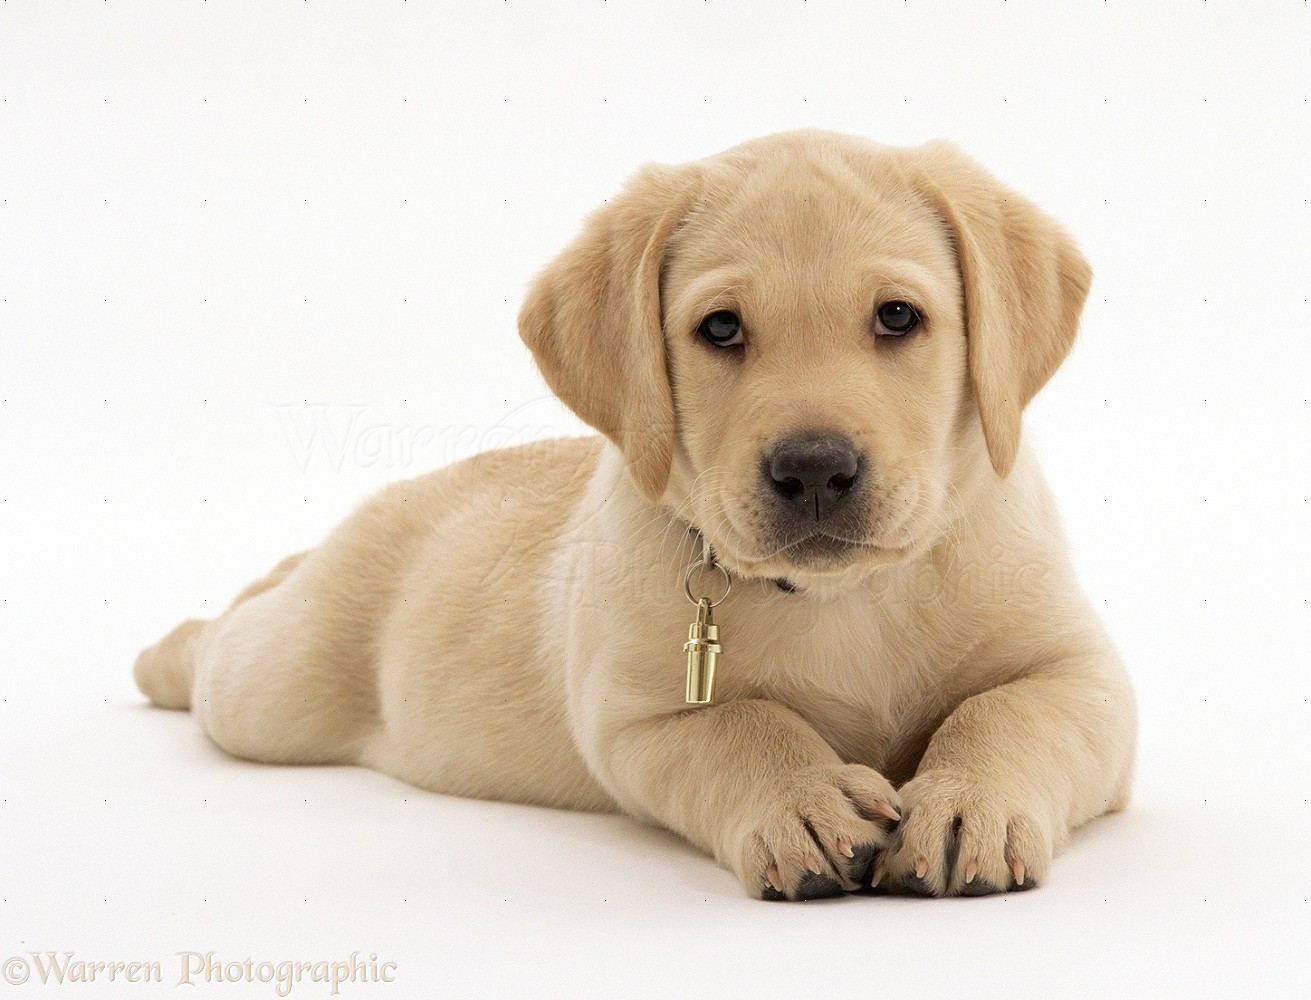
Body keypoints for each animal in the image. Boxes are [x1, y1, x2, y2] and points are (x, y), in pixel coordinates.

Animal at [135, 129, 1137, 901]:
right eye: (720, 329)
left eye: (897, 317)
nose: (814, 468)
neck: (841, 598)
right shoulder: (636, 722)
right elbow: (744, 728)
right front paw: (802, 796)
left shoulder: (1088, 681)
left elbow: (1008, 712)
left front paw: (965, 800)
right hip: (275, 690)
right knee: (229, 643)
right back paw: (167, 649)